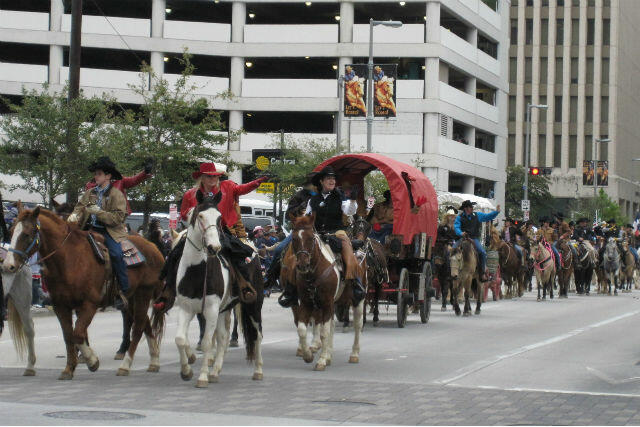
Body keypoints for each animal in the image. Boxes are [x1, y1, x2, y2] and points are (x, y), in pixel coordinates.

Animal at [1, 207, 168, 382]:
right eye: (11, 232)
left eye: (27, 234)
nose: (8, 266)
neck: (69, 260)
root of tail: (153, 247)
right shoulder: (61, 306)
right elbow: (69, 336)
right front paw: (69, 369)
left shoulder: (89, 304)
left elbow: (78, 333)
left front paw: (92, 361)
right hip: (130, 298)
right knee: (145, 323)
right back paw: (154, 361)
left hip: (143, 293)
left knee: (138, 327)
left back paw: (125, 365)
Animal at [171, 191, 264, 388]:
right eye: (200, 216)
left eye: (219, 218)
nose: (214, 247)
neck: (196, 270)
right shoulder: (186, 308)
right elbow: (180, 339)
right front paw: (186, 371)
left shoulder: (211, 309)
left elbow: (207, 342)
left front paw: (202, 377)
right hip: (224, 309)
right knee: (223, 337)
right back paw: (215, 372)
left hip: (253, 306)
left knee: (257, 335)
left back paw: (258, 371)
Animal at [284, 216, 368, 370]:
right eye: (294, 238)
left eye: (311, 238)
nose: (303, 265)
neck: (313, 273)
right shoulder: (306, 303)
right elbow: (302, 329)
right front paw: (308, 355)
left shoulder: (327, 303)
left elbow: (324, 332)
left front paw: (321, 360)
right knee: (332, 327)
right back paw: (329, 355)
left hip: (357, 300)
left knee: (357, 325)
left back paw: (354, 354)